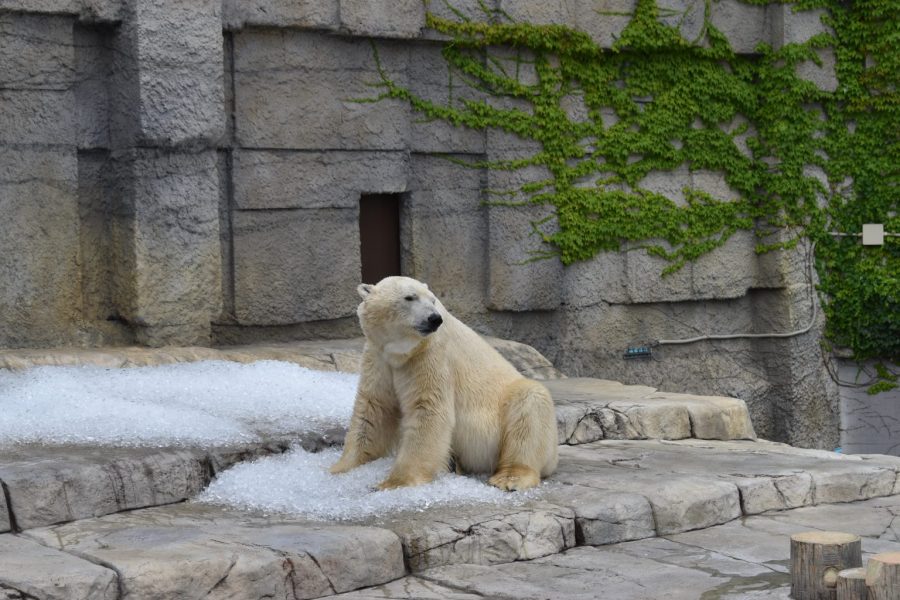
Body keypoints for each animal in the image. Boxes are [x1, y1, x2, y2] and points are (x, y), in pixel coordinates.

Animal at [326, 276, 560, 492]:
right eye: (410, 297)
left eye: (433, 300)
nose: (434, 319)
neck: (400, 352)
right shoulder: (378, 356)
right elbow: (373, 409)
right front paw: (340, 468)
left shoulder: (431, 355)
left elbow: (428, 409)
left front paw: (394, 482)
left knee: (530, 403)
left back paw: (510, 478)